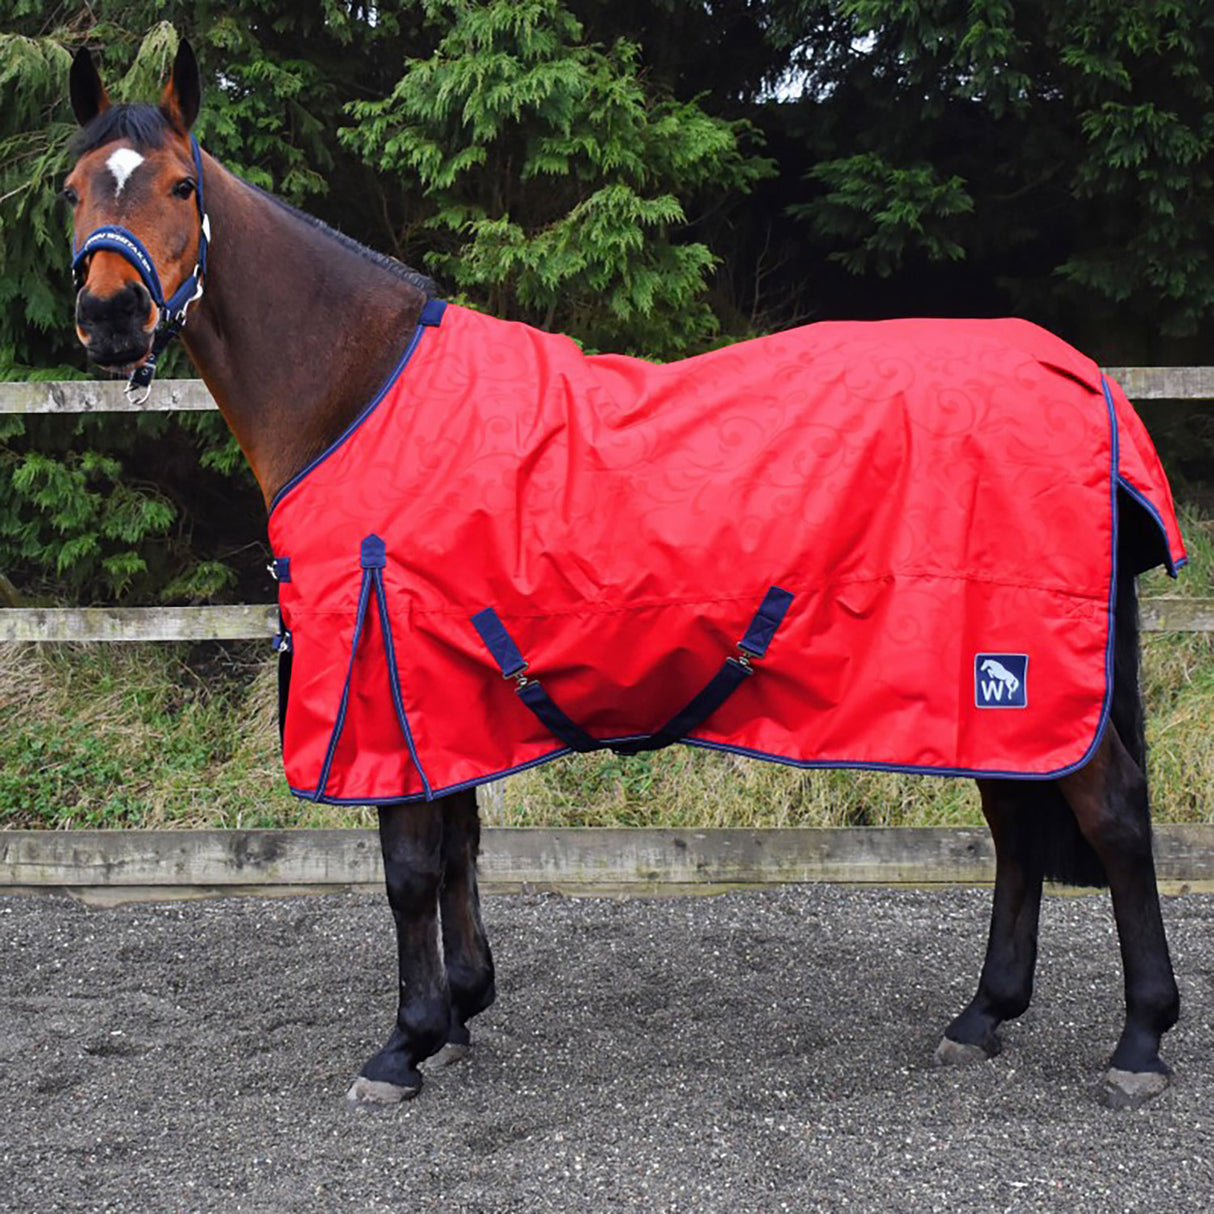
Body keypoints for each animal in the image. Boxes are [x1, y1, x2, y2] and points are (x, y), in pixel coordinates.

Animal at [62, 40, 1184, 1110]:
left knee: (1115, 820)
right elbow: (459, 844)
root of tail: (1078, 374)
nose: (110, 317)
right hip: (986, 693)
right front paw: (460, 1012)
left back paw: (1140, 1041)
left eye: (179, 187)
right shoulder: (443, 692)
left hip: (1024, 673)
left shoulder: (390, 681)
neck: (359, 391)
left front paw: (404, 1043)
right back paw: (982, 1017)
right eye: (72, 188)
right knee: (1016, 827)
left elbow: (409, 869)